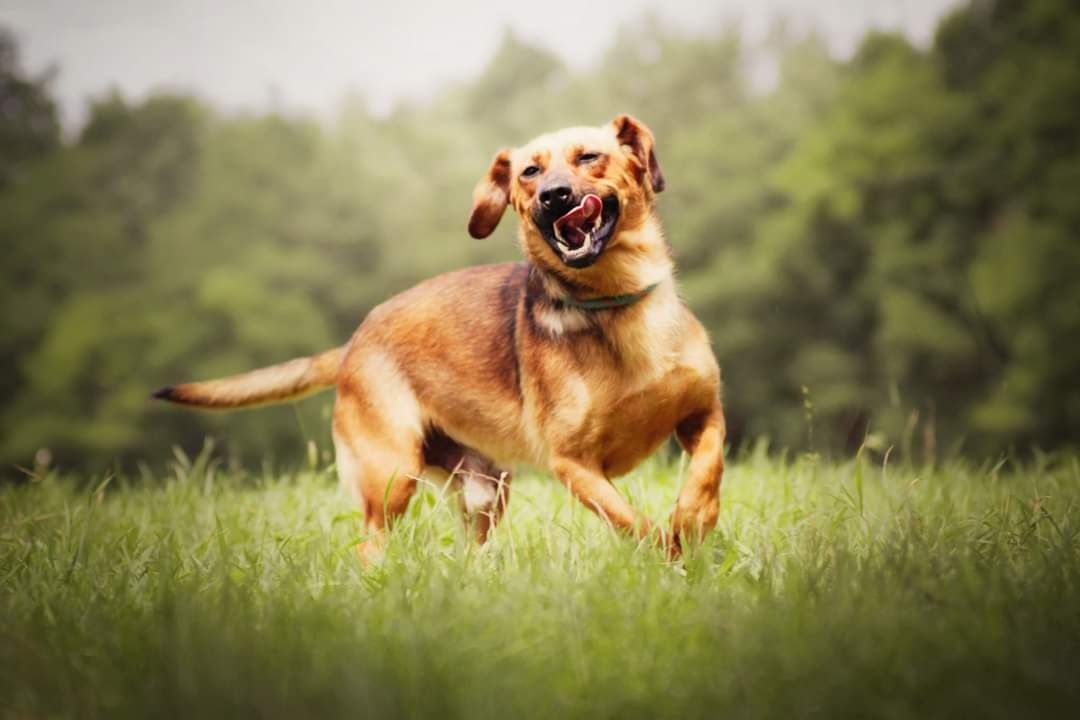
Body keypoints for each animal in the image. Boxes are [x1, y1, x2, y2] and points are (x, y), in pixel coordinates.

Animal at [156, 113, 730, 561]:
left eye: (590, 157)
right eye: (529, 171)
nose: (553, 197)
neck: (617, 300)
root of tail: (354, 343)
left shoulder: (704, 412)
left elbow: (708, 468)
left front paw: (694, 519)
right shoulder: (574, 465)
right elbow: (632, 521)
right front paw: (671, 553)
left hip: (485, 492)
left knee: (469, 556)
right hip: (392, 476)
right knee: (369, 545)